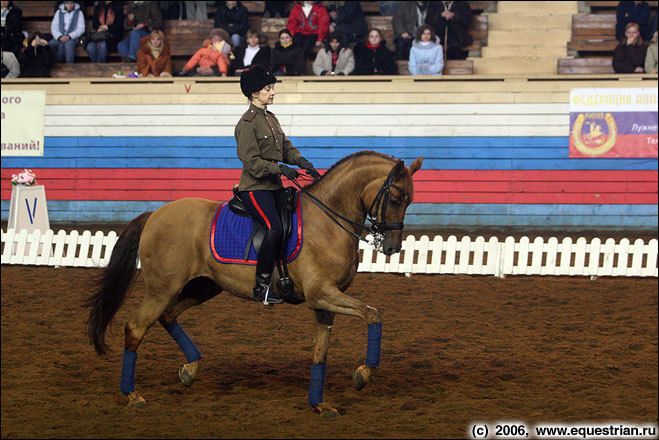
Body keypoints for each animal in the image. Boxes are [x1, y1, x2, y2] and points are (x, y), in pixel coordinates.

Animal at [86, 151, 422, 420]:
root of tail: (155, 213)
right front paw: (363, 375)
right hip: (161, 289)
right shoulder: (321, 295)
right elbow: (373, 314)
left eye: (409, 201)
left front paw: (319, 404)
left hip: (204, 286)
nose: (392, 247)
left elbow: (321, 352)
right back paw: (133, 396)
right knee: (136, 328)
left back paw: (189, 370)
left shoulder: (327, 301)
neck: (328, 221)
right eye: (395, 199)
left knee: (168, 316)